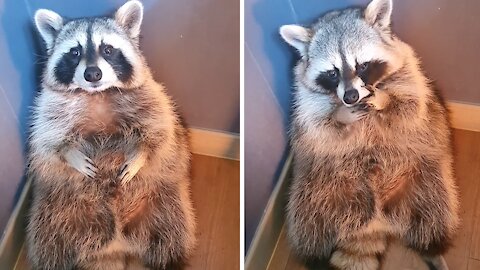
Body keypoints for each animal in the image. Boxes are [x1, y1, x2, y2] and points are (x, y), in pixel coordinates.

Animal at [25, 1, 195, 268]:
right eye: (75, 52)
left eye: (107, 49)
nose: (92, 74)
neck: (97, 94)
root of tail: (115, 246)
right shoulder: (48, 107)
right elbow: (48, 140)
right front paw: (70, 152)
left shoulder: (151, 96)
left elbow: (159, 130)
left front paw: (140, 154)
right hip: (55, 211)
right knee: (50, 245)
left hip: (165, 203)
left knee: (171, 237)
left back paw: (169, 261)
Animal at [280, 0, 460, 270]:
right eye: (332, 72)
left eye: (362, 65)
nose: (350, 97)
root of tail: (375, 220)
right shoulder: (306, 102)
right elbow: (321, 129)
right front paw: (341, 115)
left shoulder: (411, 75)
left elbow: (410, 109)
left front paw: (385, 100)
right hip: (316, 189)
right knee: (309, 227)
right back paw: (316, 259)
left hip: (427, 181)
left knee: (434, 216)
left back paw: (433, 251)